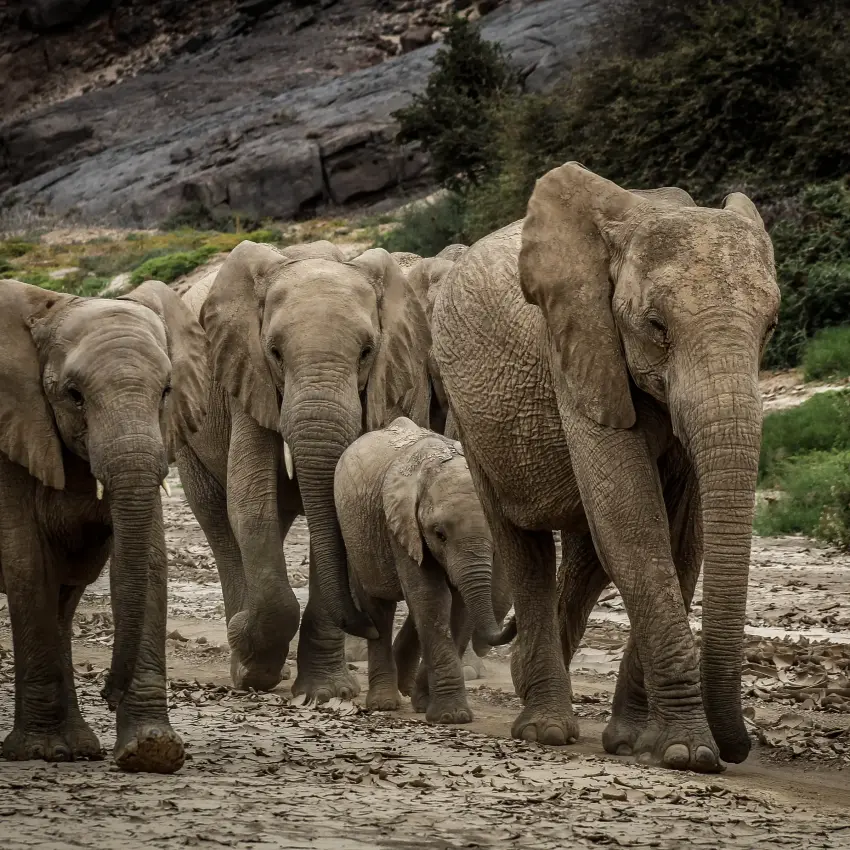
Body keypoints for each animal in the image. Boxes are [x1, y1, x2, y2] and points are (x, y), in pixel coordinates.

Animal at [0, 278, 209, 773]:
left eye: (166, 390)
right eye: (73, 394)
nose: (108, 693)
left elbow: (149, 561)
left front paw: (152, 751)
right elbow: (25, 561)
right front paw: (37, 753)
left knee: (63, 603)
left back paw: (78, 748)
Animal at [176, 240, 432, 700]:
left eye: (367, 352)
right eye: (275, 352)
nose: (367, 625)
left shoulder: (393, 384)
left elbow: (338, 509)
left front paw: (327, 692)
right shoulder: (246, 377)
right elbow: (250, 503)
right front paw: (254, 662)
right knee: (218, 518)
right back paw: (242, 659)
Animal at [334, 417, 507, 722]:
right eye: (439, 534)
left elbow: (458, 607)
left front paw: (429, 706)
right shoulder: (401, 525)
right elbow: (431, 598)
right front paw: (452, 716)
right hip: (356, 536)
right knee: (379, 609)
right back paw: (384, 703)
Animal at [431, 162, 779, 773]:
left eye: (771, 328)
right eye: (657, 327)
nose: (738, 749)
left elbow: (680, 540)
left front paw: (641, 743)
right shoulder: (576, 348)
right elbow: (634, 527)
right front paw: (691, 753)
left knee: (587, 557)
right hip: (470, 419)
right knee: (523, 546)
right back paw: (544, 727)